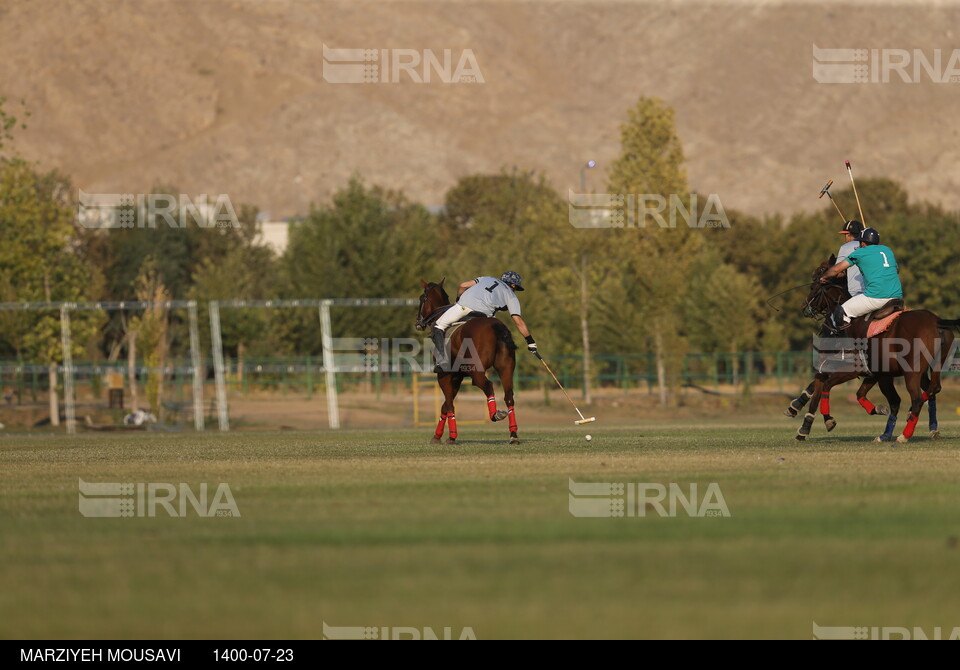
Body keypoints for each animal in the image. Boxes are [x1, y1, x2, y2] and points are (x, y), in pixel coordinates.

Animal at [412, 280, 516, 446]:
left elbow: (449, 405)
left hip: (476, 371)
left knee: (488, 386)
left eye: (422, 298)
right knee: (509, 395)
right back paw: (513, 435)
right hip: (506, 368)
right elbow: (444, 406)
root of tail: (497, 327)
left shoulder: (444, 375)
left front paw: (451, 436)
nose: (418, 322)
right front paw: (438, 436)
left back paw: (495, 414)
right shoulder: (457, 377)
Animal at [792, 258, 956, 446]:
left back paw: (904, 434)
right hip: (932, 367)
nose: (804, 307)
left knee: (917, 399)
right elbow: (863, 395)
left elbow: (826, 386)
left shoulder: (853, 369)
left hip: (912, 371)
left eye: (813, 286)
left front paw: (827, 420)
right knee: (933, 388)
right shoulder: (877, 373)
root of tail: (937, 322)